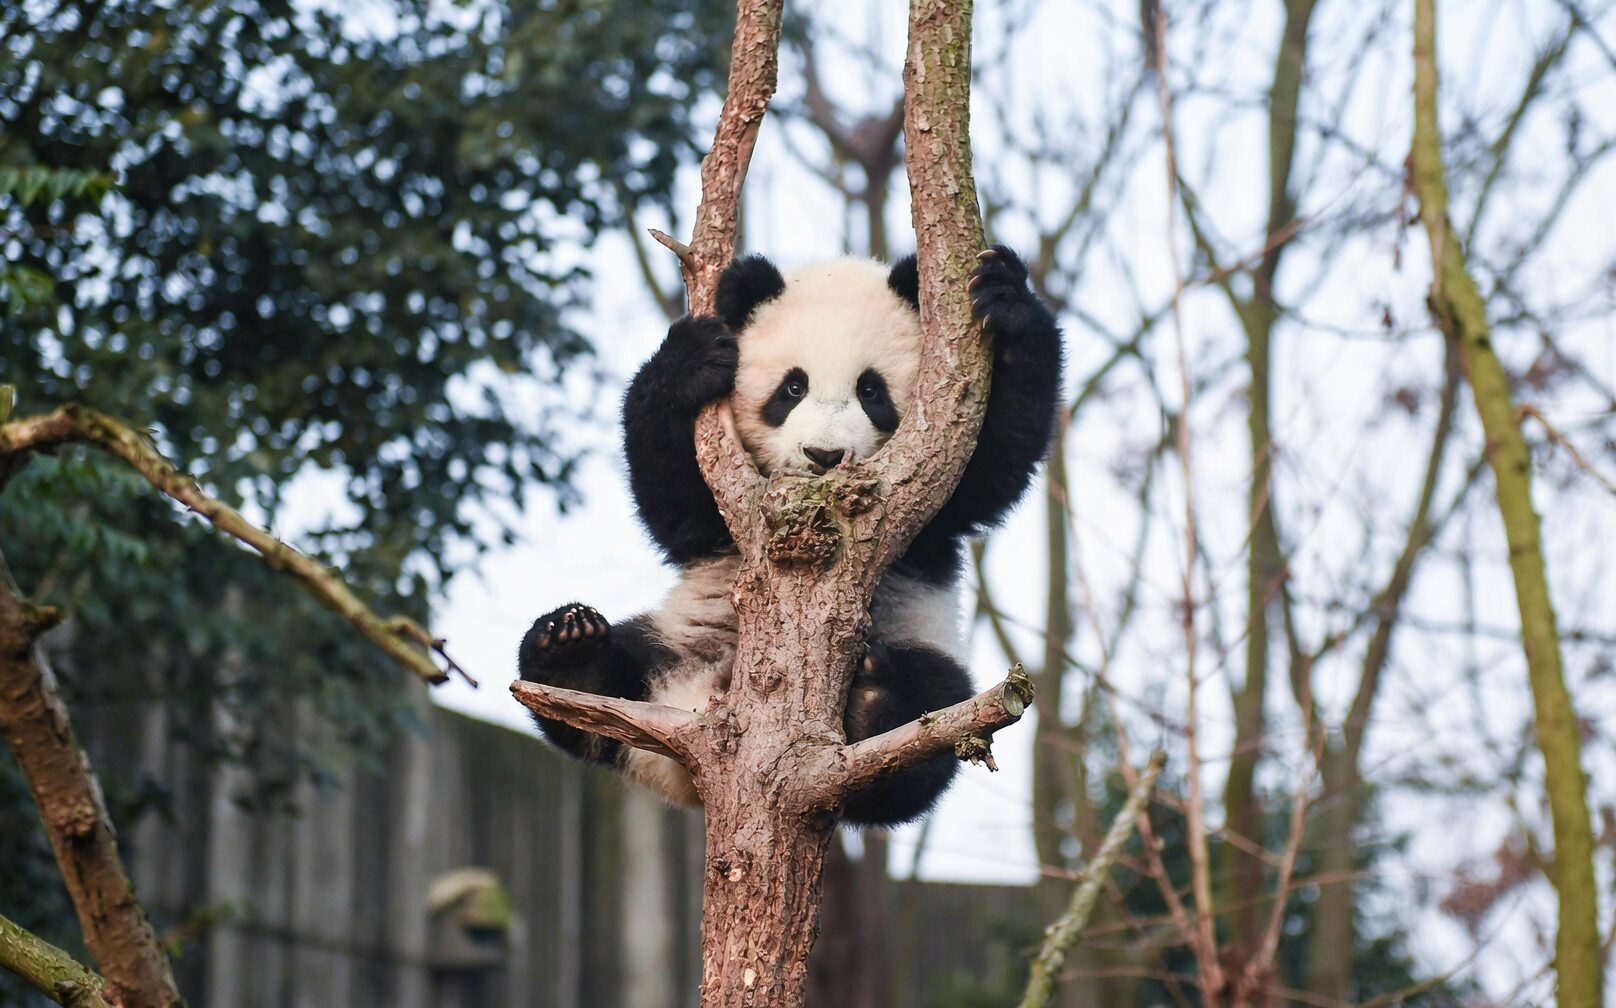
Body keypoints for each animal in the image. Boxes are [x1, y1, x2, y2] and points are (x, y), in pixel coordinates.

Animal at [519, 244, 1062, 826]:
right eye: (792, 387)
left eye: (871, 390)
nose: (823, 455)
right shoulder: (722, 513)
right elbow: (672, 500)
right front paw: (691, 360)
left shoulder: (935, 506)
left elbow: (995, 464)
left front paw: (1005, 298)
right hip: (677, 640)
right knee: (597, 678)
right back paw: (573, 651)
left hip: (924, 647)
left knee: (930, 714)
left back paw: (875, 704)